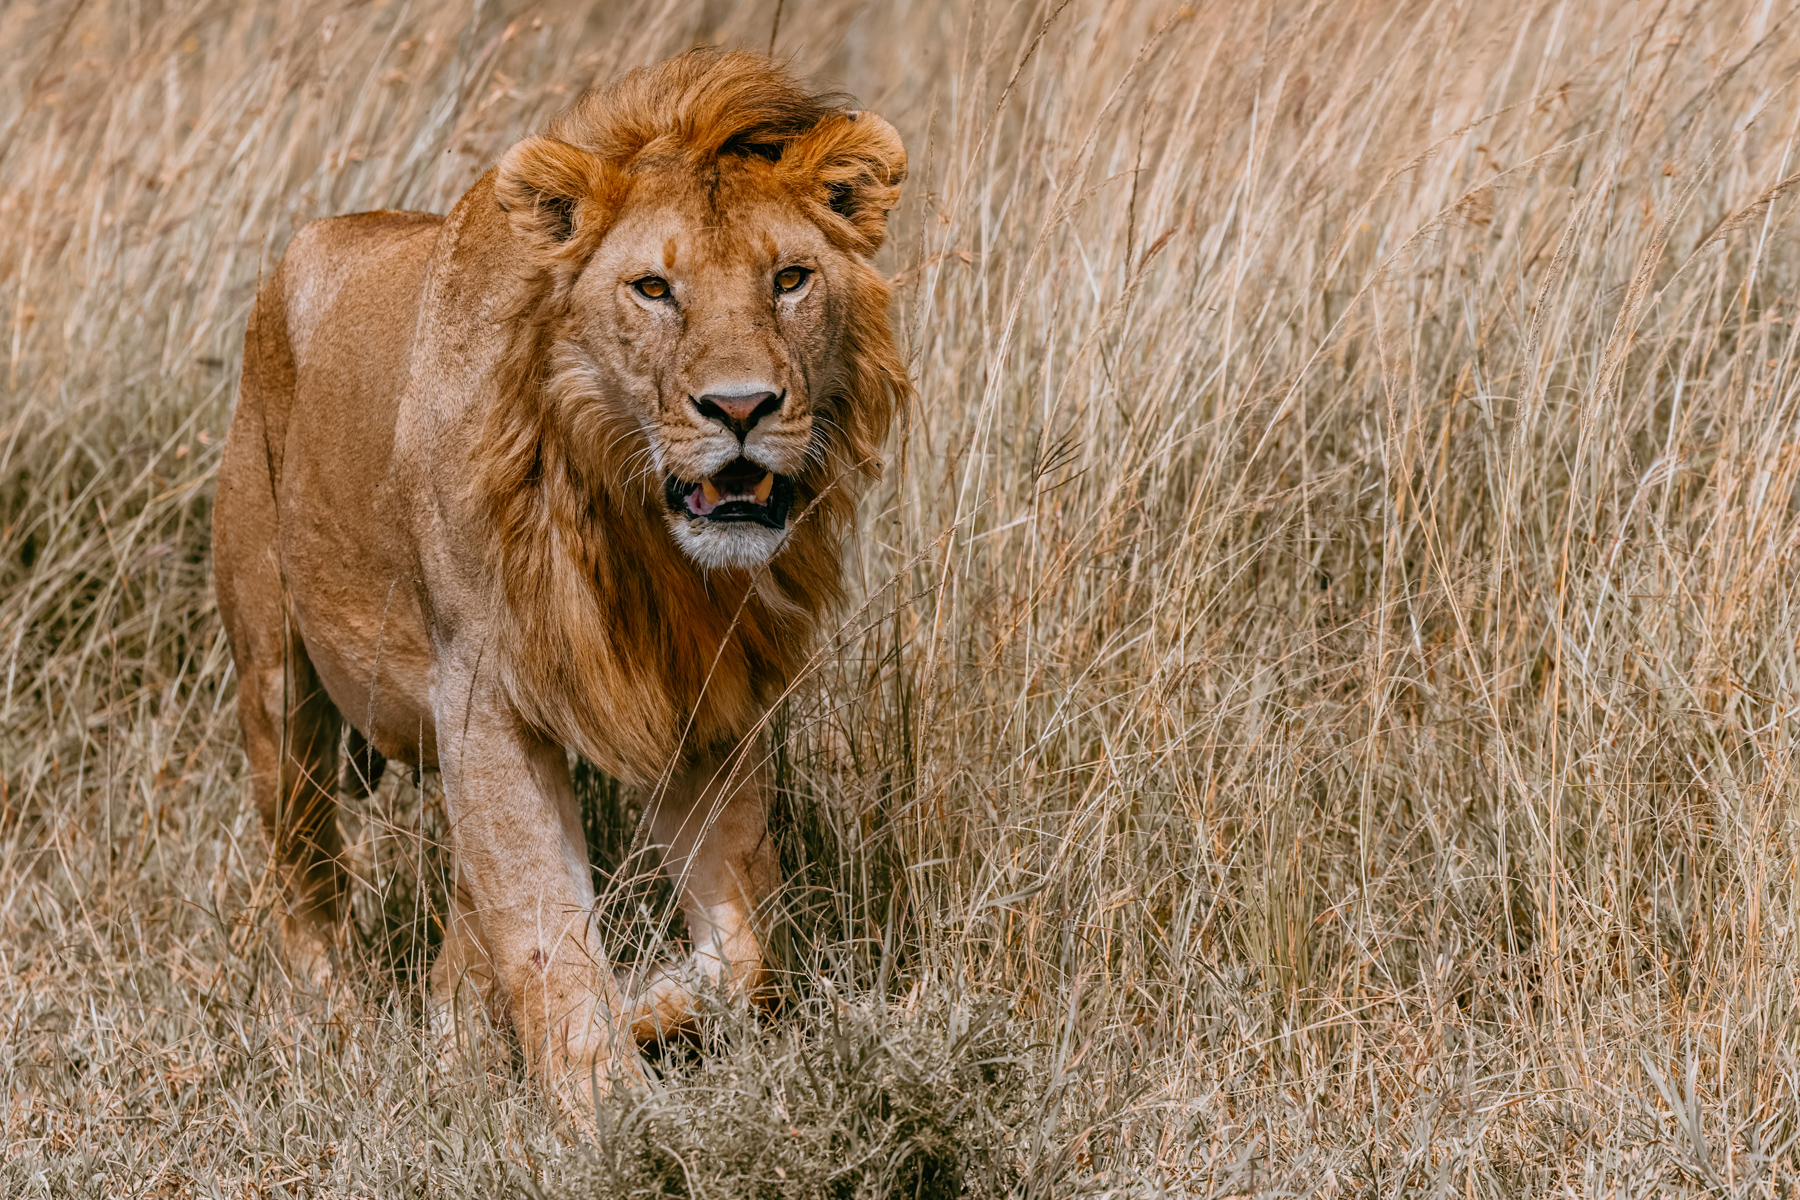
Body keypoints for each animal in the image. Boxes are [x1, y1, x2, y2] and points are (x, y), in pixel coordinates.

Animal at [210, 48, 907, 1091]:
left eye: (790, 279)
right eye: (653, 289)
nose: (741, 407)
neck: (638, 540)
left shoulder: (698, 699)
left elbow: (749, 946)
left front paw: (652, 1006)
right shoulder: (482, 698)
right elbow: (548, 941)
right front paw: (605, 1103)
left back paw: (454, 1045)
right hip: (277, 679)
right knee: (306, 880)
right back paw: (331, 1026)